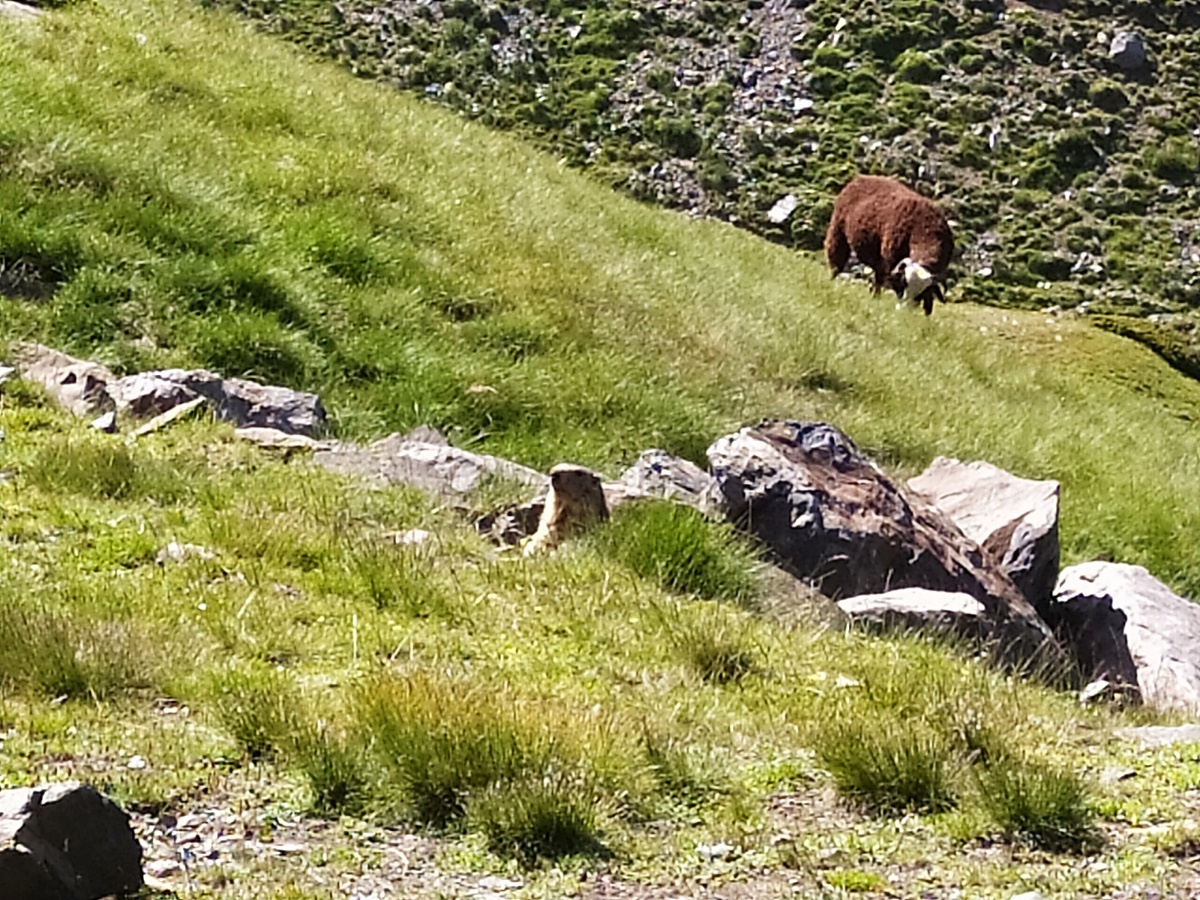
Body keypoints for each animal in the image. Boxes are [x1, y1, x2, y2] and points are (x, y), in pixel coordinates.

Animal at [820, 176, 950, 316]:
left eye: (920, 294)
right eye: (902, 284)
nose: (904, 311)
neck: (924, 231)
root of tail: (863, 177)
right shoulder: (890, 261)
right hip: (838, 230)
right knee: (836, 261)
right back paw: (833, 284)